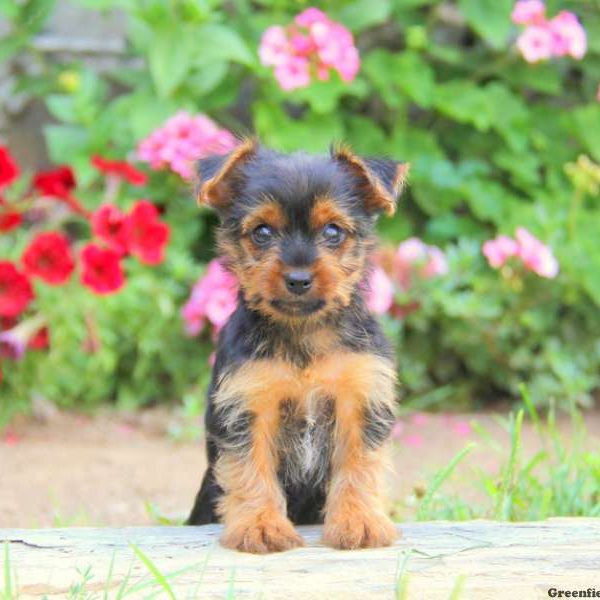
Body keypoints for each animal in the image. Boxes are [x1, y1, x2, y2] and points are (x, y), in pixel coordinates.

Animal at [190, 139, 410, 552]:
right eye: (261, 232)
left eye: (333, 231)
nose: (298, 278)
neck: (304, 331)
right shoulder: (248, 403)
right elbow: (251, 470)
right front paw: (260, 526)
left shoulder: (360, 398)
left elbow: (359, 464)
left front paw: (358, 521)